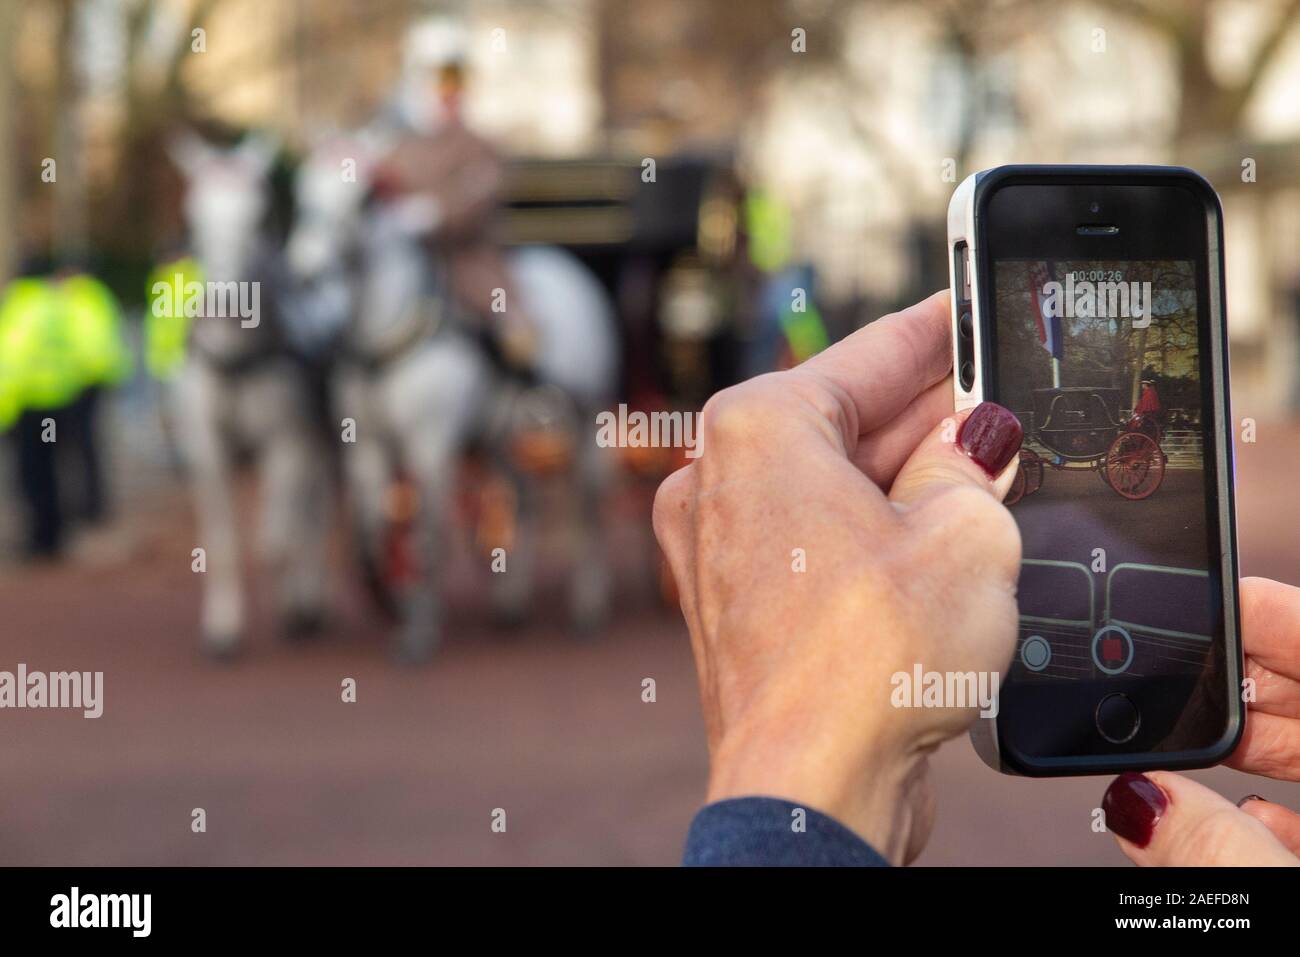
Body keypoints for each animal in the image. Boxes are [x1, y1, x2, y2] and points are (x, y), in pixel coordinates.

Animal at [169, 132, 330, 657]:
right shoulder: (207, 449)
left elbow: (275, 541)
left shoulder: (288, 442)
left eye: (257, 216)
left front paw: (294, 607)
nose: (224, 300)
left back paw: (308, 596)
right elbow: (221, 542)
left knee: (310, 515)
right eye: (193, 214)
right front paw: (223, 629)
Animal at [288, 132, 618, 657]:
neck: (386, 339)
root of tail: (568, 265)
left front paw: (419, 629)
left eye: (363, 199)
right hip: (498, 437)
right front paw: (391, 599)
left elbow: (429, 536)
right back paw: (511, 602)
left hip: (589, 420)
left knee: (588, 506)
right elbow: (367, 533)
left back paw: (587, 606)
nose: (306, 271)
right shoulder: (366, 446)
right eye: (300, 191)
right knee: (525, 496)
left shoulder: (430, 446)